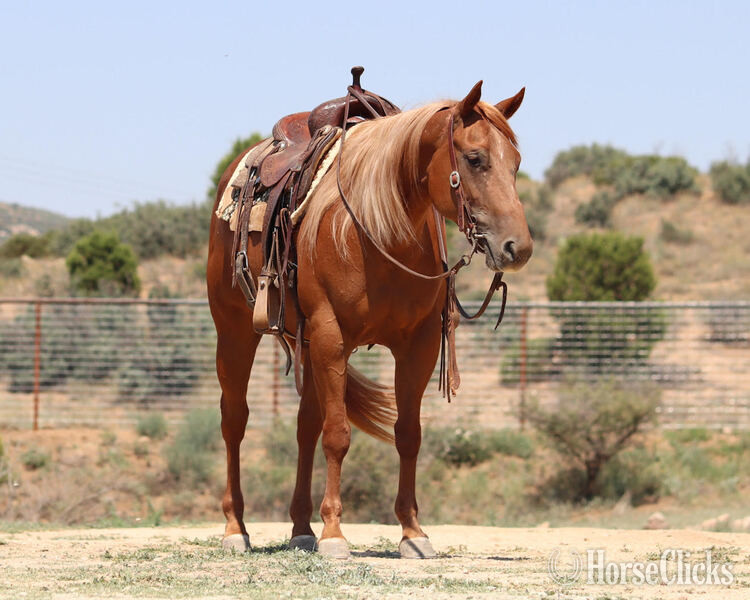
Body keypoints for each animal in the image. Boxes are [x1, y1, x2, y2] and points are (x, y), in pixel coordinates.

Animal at [206, 80, 532, 558]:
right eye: (475, 158)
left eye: (516, 163)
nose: (517, 247)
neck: (380, 233)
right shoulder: (331, 336)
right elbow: (338, 435)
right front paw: (334, 534)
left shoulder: (417, 346)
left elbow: (407, 433)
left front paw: (413, 532)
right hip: (233, 331)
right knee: (234, 420)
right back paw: (236, 528)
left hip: (304, 343)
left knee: (305, 427)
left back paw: (301, 527)